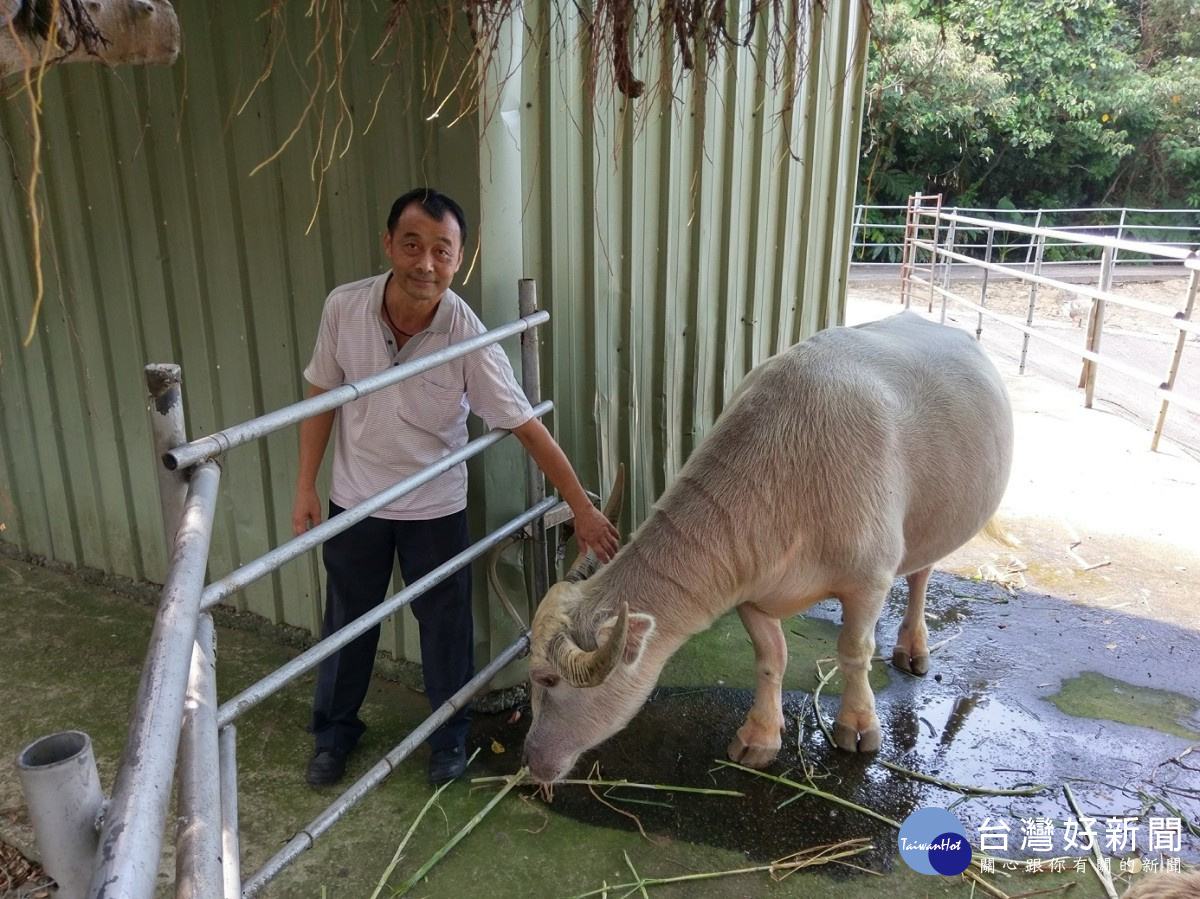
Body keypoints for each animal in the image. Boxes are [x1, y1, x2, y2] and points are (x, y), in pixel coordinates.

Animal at [523, 312, 1012, 782]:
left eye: (547, 680)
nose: (530, 760)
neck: (789, 474)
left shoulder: (869, 583)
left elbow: (854, 653)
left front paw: (857, 725)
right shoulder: (751, 590)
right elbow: (769, 659)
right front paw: (759, 736)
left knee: (921, 575)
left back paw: (913, 646)